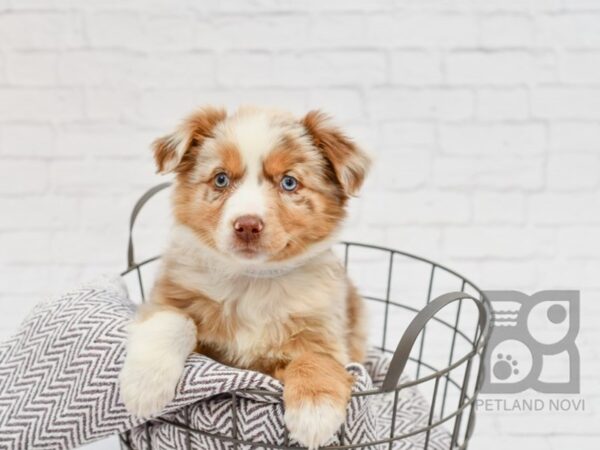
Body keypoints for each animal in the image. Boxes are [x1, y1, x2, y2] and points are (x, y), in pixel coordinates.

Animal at [118, 106, 370, 450]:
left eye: (289, 182)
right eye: (221, 179)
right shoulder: (169, 294)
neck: (253, 280)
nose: (247, 225)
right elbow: (171, 322)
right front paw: (144, 385)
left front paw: (315, 413)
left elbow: (316, 359)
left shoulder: (325, 328)